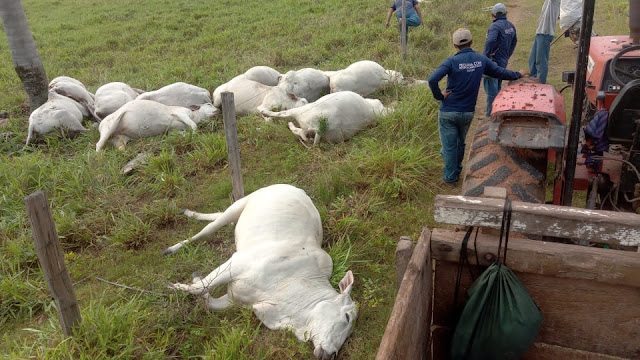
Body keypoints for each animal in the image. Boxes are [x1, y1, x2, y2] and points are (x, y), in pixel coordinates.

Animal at [165, 184, 358, 358]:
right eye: (347, 317)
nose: (331, 354)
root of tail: (297, 189)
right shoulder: (237, 263)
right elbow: (201, 288)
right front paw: (172, 287)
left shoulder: (233, 299)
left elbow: (208, 299)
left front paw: (193, 279)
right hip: (240, 204)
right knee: (208, 229)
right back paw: (173, 244)